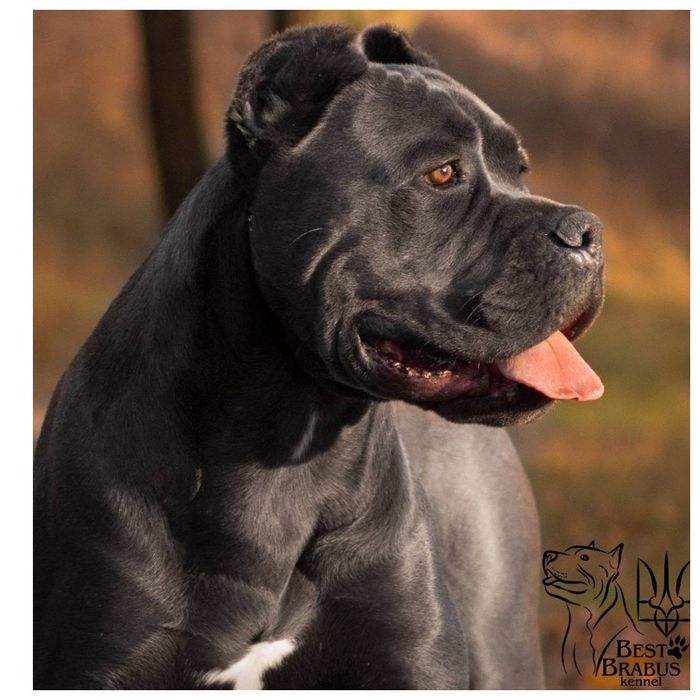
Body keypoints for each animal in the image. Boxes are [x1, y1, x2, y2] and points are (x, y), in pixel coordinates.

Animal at [34, 24, 604, 689]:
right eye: (442, 174)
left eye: (521, 170)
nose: (587, 231)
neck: (287, 446)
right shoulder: (102, 659)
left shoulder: (411, 660)